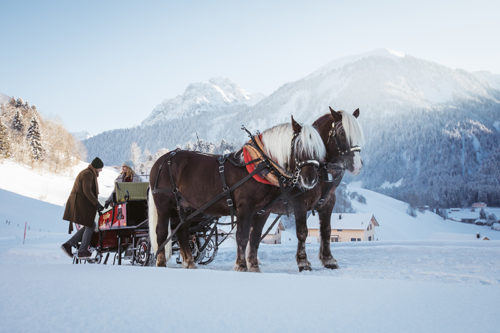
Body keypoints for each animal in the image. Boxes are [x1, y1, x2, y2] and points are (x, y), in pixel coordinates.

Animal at [147, 116, 328, 270]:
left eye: (317, 149)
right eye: (299, 147)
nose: (311, 179)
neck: (259, 165)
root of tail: (160, 161)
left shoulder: (263, 211)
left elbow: (255, 238)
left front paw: (254, 266)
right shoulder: (245, 208)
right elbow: (242, 236)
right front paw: (241, 266)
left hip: (184, 207)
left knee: (181, 231)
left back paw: (189, 262)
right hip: (164, 205)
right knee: (161, 232)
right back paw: (161, 263)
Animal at [249, 106, 364, 270]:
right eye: (342, 133)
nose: (357, 166)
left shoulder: (328, 203)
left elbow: (326, 230)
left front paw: (328, 259)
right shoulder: (300, 204)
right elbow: (302, 232)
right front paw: (303, 262)